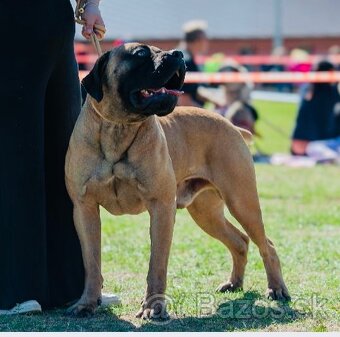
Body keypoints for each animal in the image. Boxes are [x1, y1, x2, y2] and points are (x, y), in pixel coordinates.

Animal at [65, 43, 290, 318]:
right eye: (141, 53)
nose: (178, 54)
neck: (119, 128)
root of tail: (232, 125)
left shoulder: (161, 208)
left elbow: (157, 264)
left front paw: (153, 307)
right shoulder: (84, 209)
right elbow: (92, 262)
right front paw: (87, 303)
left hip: (242, 202)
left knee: (266, 244)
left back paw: (277, 289)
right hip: (206, 213)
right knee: (240, 241)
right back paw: (234, 283)